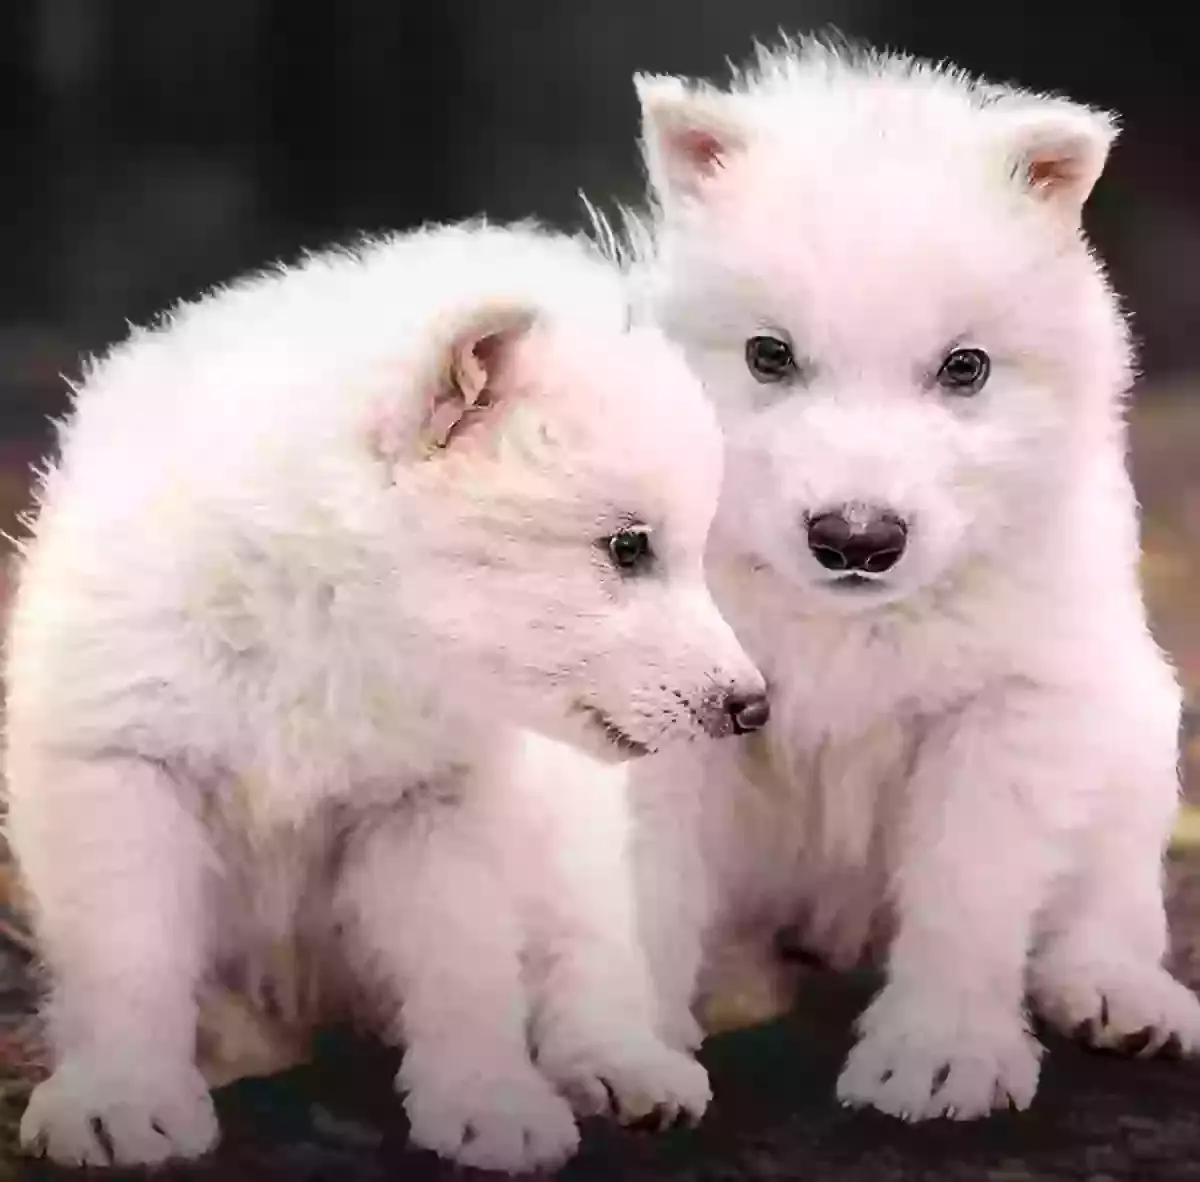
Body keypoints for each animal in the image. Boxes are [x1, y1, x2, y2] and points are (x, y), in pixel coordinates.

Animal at [5, 221, 768, 1170]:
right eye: (628, 547)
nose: (751, 705)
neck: (330, 620)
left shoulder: (437, 800)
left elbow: (463, 966)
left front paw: (487, 1102)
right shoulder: (122, 763)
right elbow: (128, 953)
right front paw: (121, 1097)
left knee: (592, 950)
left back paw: (623, 1063)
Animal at [605, 37, 1200, 1121]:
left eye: (965, 368)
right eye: (769, 355)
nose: (856, 539)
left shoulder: (1010, 705)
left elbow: (970, 887)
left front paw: (939, 1056)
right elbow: (644, 888)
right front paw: (630, 1052)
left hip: (1132, 715)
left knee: (1112, 890)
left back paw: (1118, 995)